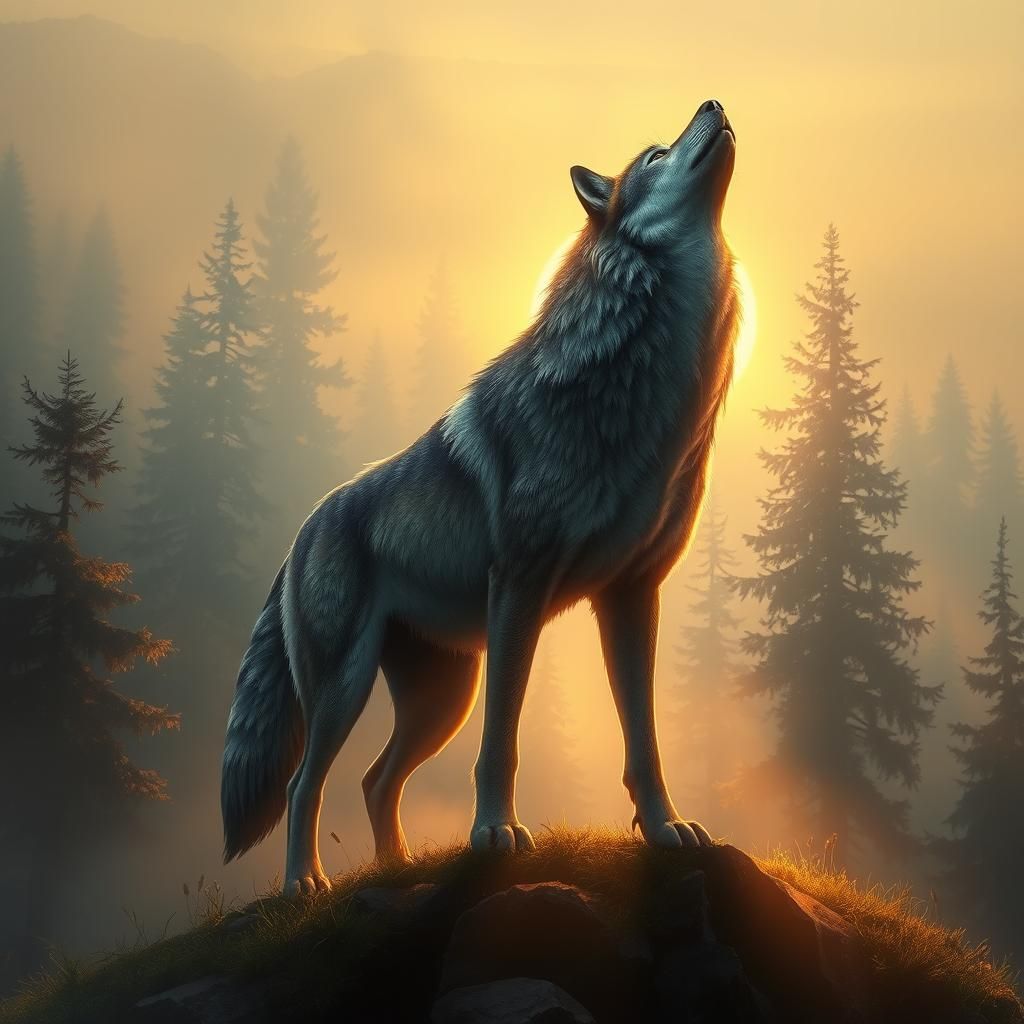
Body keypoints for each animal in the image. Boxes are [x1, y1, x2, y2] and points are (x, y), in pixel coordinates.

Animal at [222, 99, 740, 895]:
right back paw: (305, 885)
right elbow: (504, 739)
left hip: (441, 699)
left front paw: (664, 831)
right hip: (346, 690)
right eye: (656, 154)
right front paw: (495, 834)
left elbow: (644, 740)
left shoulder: (632, 593)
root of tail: (306, 526)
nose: (714, 103)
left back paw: (397, 871)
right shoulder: (518, 589)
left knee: (375, 781)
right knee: (303, 785)